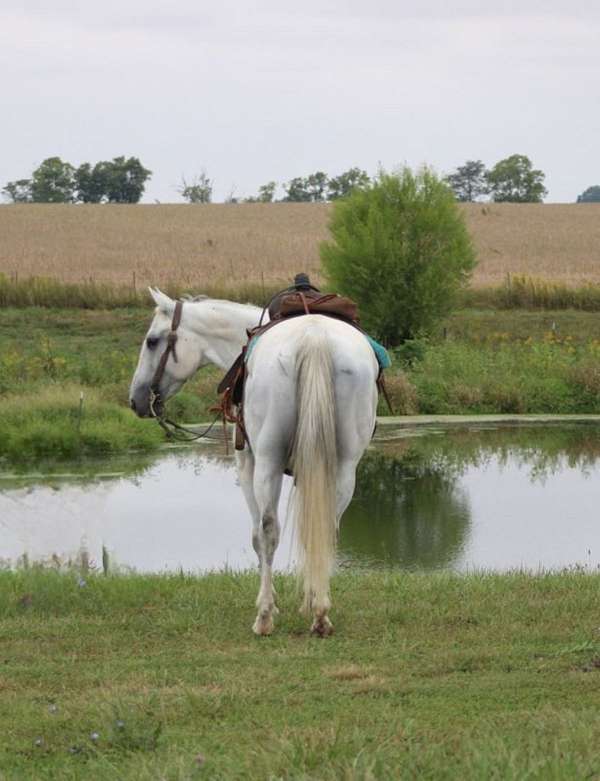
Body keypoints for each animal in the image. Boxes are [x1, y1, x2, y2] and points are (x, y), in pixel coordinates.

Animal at [129, 288, 379, 636]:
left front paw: (270, 602)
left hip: (267, 463)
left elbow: (257, 537)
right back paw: (320, 615)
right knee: (327, 527)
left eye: (152, 341)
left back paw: (264, 619)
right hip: (343, 468)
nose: (135, 399)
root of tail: (313, 337)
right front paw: (307, 599)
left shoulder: (246, 464)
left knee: (268, 530)